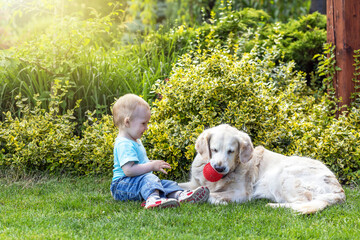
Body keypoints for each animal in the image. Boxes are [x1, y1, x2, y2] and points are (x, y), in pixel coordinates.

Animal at [180, 124, 346, 214]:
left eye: (231, 151)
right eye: (214, 149)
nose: (219, 168)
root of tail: (339, 190)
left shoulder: (242, 193)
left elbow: (212, 195)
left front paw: (220, 201)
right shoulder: (193, 183)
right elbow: (182, 185)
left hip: (283, 176)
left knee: (301, 202)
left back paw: (273, 206)